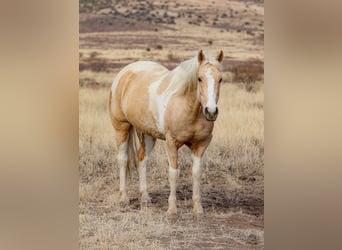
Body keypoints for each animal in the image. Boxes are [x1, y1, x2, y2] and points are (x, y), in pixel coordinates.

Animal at [108, 49, 223, 215]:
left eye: (220, 79)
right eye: (199, 79)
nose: (211, 111)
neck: (189, 108)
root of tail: (125, 72)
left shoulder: (201, 145)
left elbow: (196, 173)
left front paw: (198, 208)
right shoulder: (171, 143)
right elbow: (173, 173)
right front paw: (172, 209)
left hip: (148, 135)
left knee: (142, 159)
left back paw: (145, 197)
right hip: (121, 128)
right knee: (123, 159)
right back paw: (124, 198)